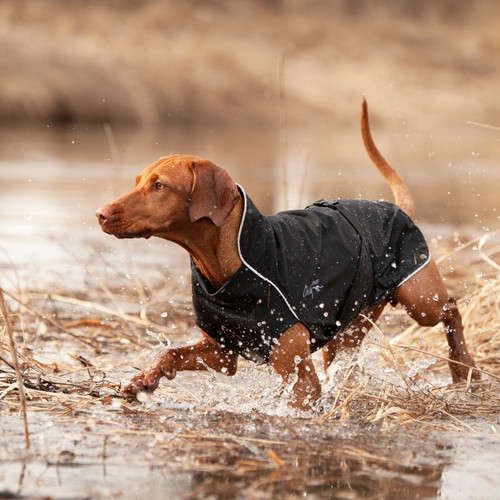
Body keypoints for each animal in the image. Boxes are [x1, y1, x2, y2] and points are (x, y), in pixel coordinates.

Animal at [95, 100, 478, 410]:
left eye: (159, 185)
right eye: (137, 181)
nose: (100, 213)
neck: (235, 259)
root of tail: (398, 208)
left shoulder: (299, 377)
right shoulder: (222, 352)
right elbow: (169, 352)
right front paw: (144, 380)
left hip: (419, 299)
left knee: (452, 308)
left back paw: (465, 367)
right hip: (348, 328)